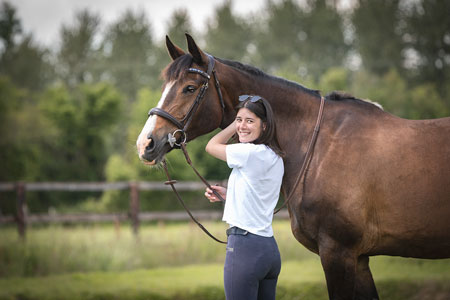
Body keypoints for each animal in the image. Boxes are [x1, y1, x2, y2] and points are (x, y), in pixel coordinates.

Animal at [136, 34, 450, 298]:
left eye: (189, 88)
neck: (319, 145)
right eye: (165, 87)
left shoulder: (339, 253)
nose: (145, 143)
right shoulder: (360, 258)